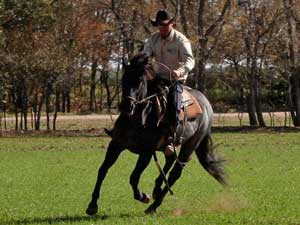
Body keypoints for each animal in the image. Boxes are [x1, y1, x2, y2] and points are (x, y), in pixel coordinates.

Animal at [84, 53, 225, 216]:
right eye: (124, 79)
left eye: (140, 81)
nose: (126, 106)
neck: (138, 119)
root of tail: (207, 104)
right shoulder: (116, 145)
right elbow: (102, 171)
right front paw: (92, 205)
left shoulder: (146, 152)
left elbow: (133, 177)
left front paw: (142, 196)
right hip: (168, 145)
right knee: (169, 160)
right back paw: (157, 190)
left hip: (190, 146)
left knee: (175, 173)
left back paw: (153, 206)